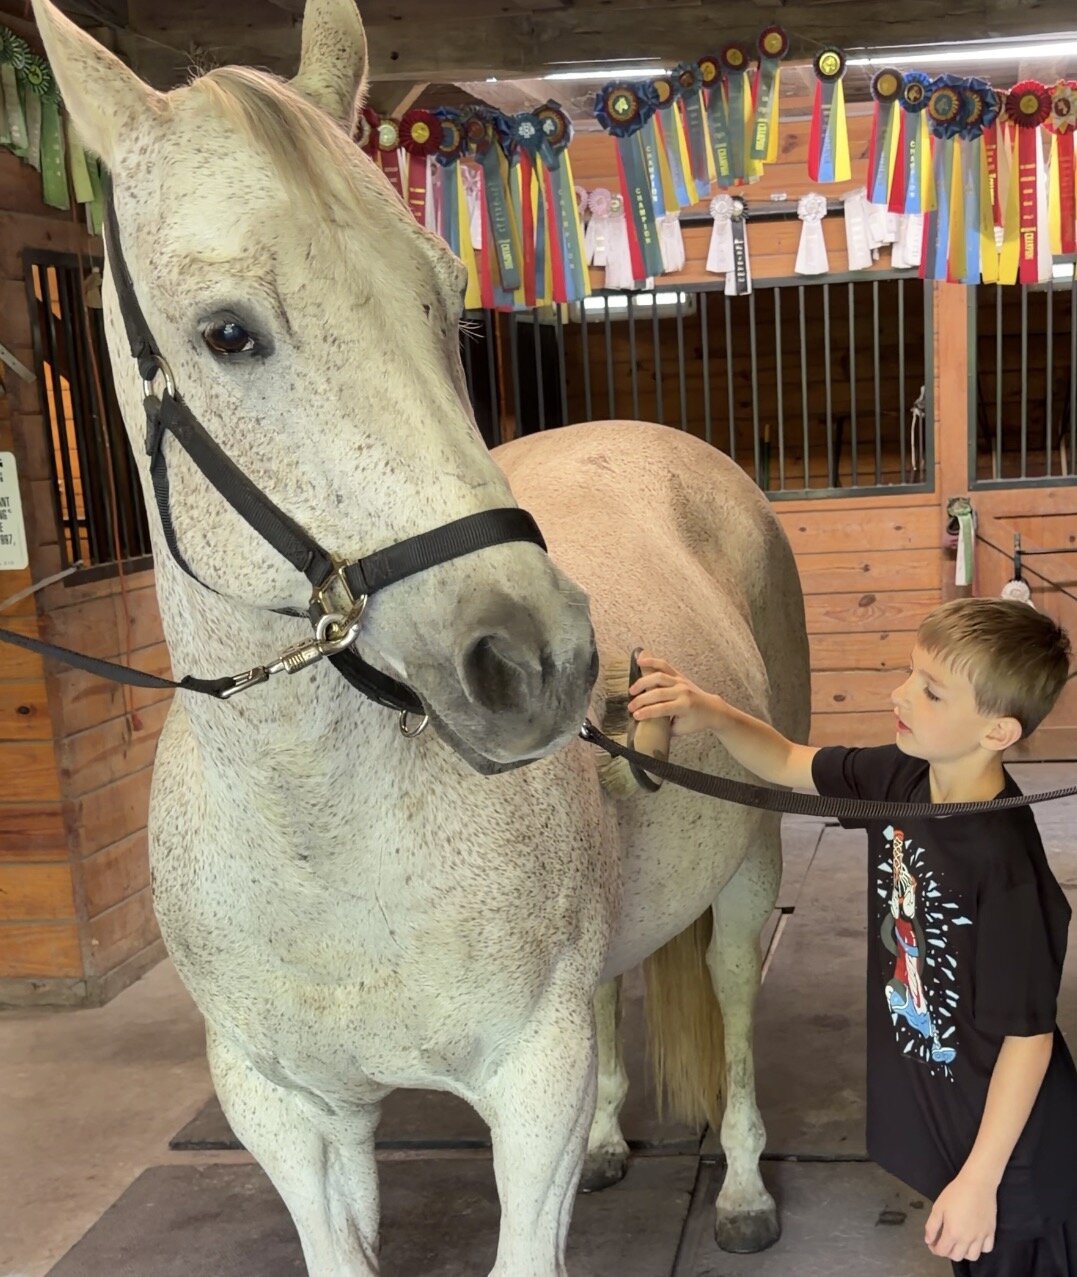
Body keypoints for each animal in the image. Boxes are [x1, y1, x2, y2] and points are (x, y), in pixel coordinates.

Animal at [31, 0, 810, 1271]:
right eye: (229, 333)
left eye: (442, 289)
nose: (537, 661)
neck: (318, 835)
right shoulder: (295, 1117)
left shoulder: (530, 1092)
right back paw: (613, 1138)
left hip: (748, 870)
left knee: (739, 999)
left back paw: (743, 1187)